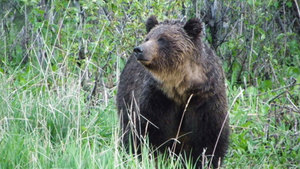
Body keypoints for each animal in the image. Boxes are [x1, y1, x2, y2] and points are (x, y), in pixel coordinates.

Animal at [117, 15, 230, 168]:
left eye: (162, 39)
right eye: (148, 38)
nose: (139, 49)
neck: (181, 87)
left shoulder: (205, 99)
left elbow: (210, 137)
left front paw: (206, 161)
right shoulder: (158, 98)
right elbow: (144, 130)